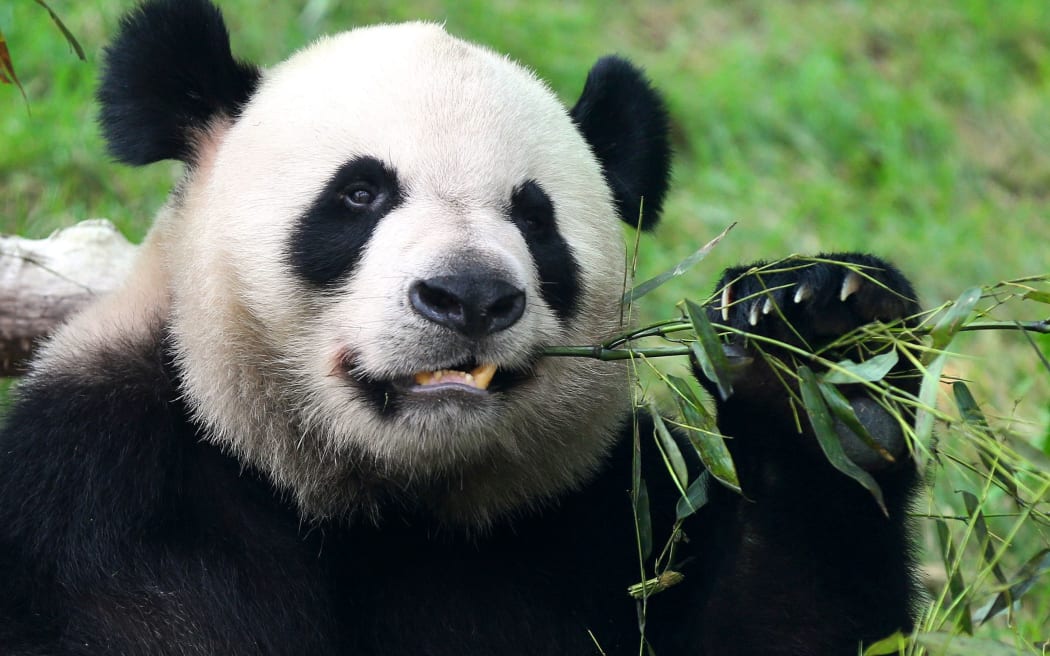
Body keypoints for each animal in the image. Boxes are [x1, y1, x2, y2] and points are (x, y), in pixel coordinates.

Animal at [0, 0, 922, 654]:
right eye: (360, 194)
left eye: (536, 219)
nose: (470, 296)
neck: (386, 503)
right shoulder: (106, 490)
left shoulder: (597, 517)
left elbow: (784, 621)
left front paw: (814, 351)